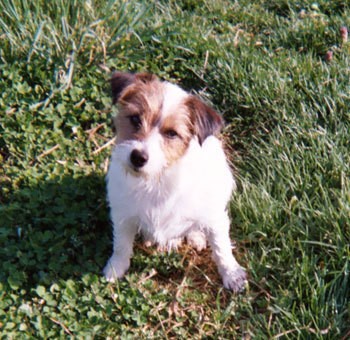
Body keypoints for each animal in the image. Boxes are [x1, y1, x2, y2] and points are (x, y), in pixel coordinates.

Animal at [102, 71, 247, 292]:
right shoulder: (122, 215)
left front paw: (232, 274)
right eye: (135, 119)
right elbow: (121, 245)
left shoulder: (214, 217)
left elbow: (222, 247)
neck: (157, 180)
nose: (138, 157)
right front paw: (115, 267)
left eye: (171, 133)